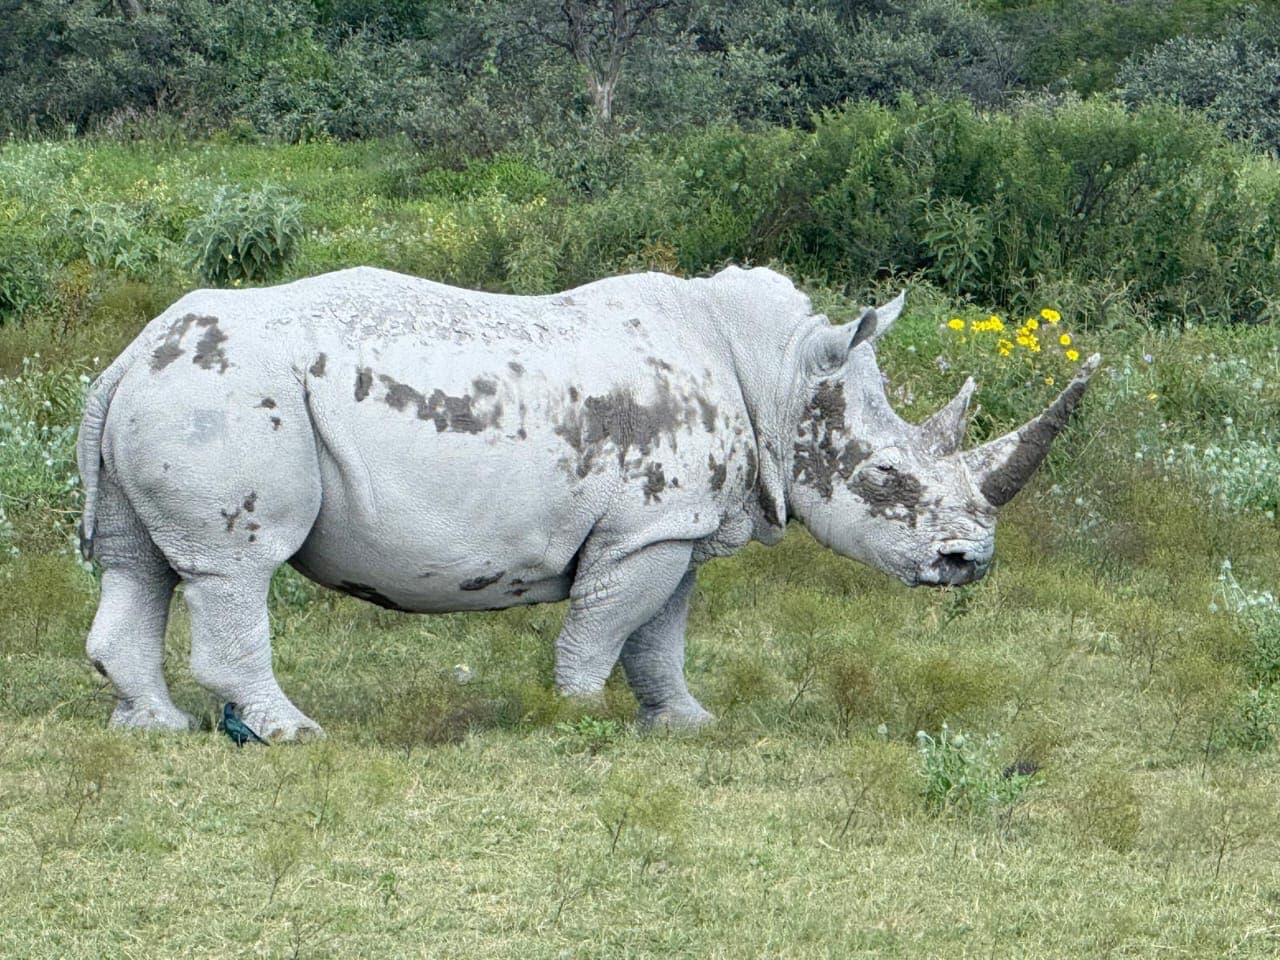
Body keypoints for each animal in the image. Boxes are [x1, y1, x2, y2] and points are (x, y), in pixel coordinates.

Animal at [77, 265, 1097, 740]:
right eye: (888, 477)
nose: (970, 562)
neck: (777, 377)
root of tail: (128, 354)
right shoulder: (646, 529)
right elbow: (604, 629)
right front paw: (570, 718)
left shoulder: (675, 528)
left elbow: (659, 636)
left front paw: (686, 725)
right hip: (224, 398)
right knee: (236, 565)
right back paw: (290, 734)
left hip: (175, 390)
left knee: (139, 564)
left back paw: (156, 728)